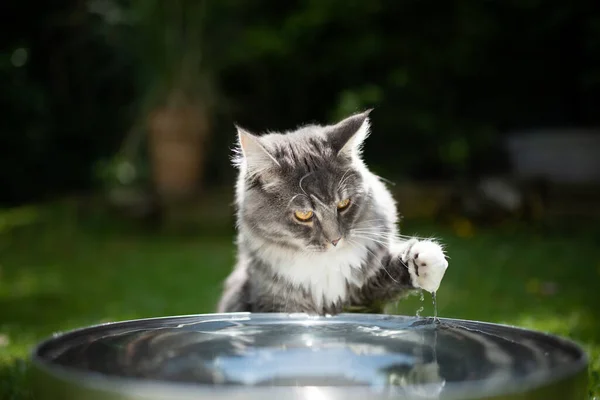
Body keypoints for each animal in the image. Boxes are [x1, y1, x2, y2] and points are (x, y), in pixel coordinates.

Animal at [218, 110, 448, 316]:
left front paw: (425, 261)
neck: (324, 265)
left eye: (344, 204)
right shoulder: (272, 300)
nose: (335, 240)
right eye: (304, 215)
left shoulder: (363, 299)